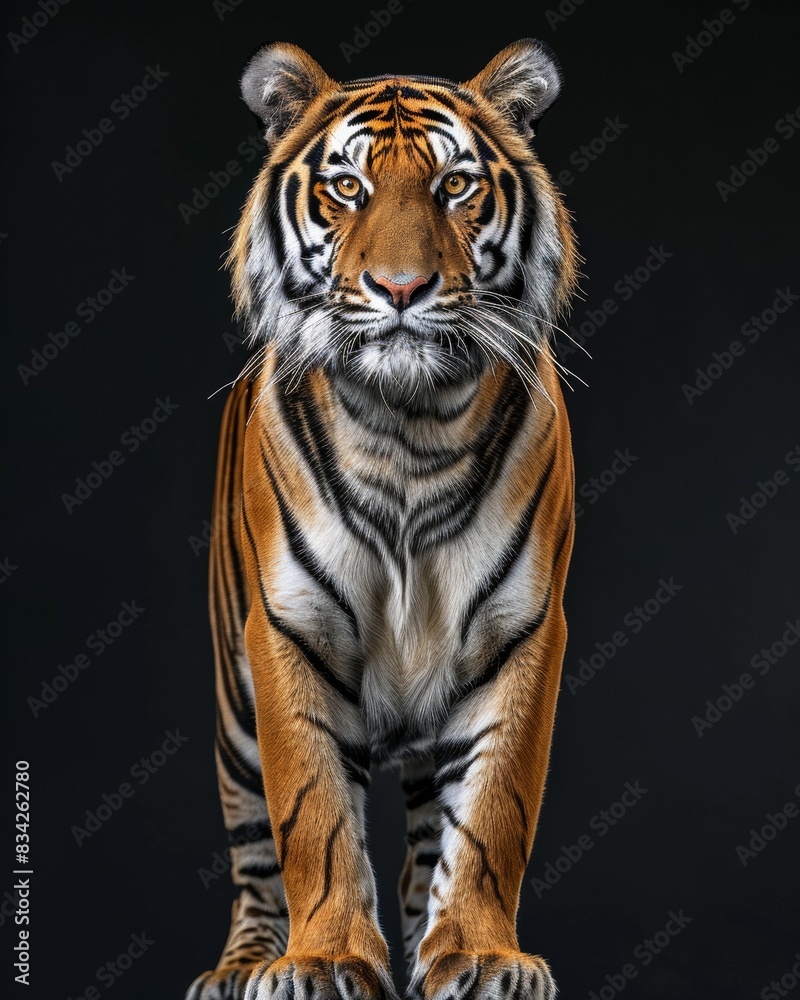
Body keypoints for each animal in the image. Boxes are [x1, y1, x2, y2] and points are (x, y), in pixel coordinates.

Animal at [185, 37, 579, 1000]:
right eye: (348, 187)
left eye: (455, 185)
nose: (401, 288)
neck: (410, 430)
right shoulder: (288, 629)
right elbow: (312, 817)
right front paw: (322, 960)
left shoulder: (521, 632)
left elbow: (494, 814)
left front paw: (480, 954)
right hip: (232, 709)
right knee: (253, 850)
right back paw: (241, 966)